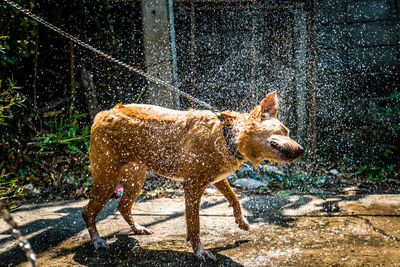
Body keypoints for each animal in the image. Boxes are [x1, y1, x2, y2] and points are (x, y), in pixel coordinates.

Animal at [83, 92, 304, 262]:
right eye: (283, 131)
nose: (302, 150)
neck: (226, 137)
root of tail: (103, 113)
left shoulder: (217, 179)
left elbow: (234, 198)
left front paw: (241, 221)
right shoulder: (192, 186)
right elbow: (194, 223)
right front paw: (200, 252)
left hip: (136, 178)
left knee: (122, 206)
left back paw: (138, 228)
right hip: (107, 178)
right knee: (88, 212)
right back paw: (97, 240)